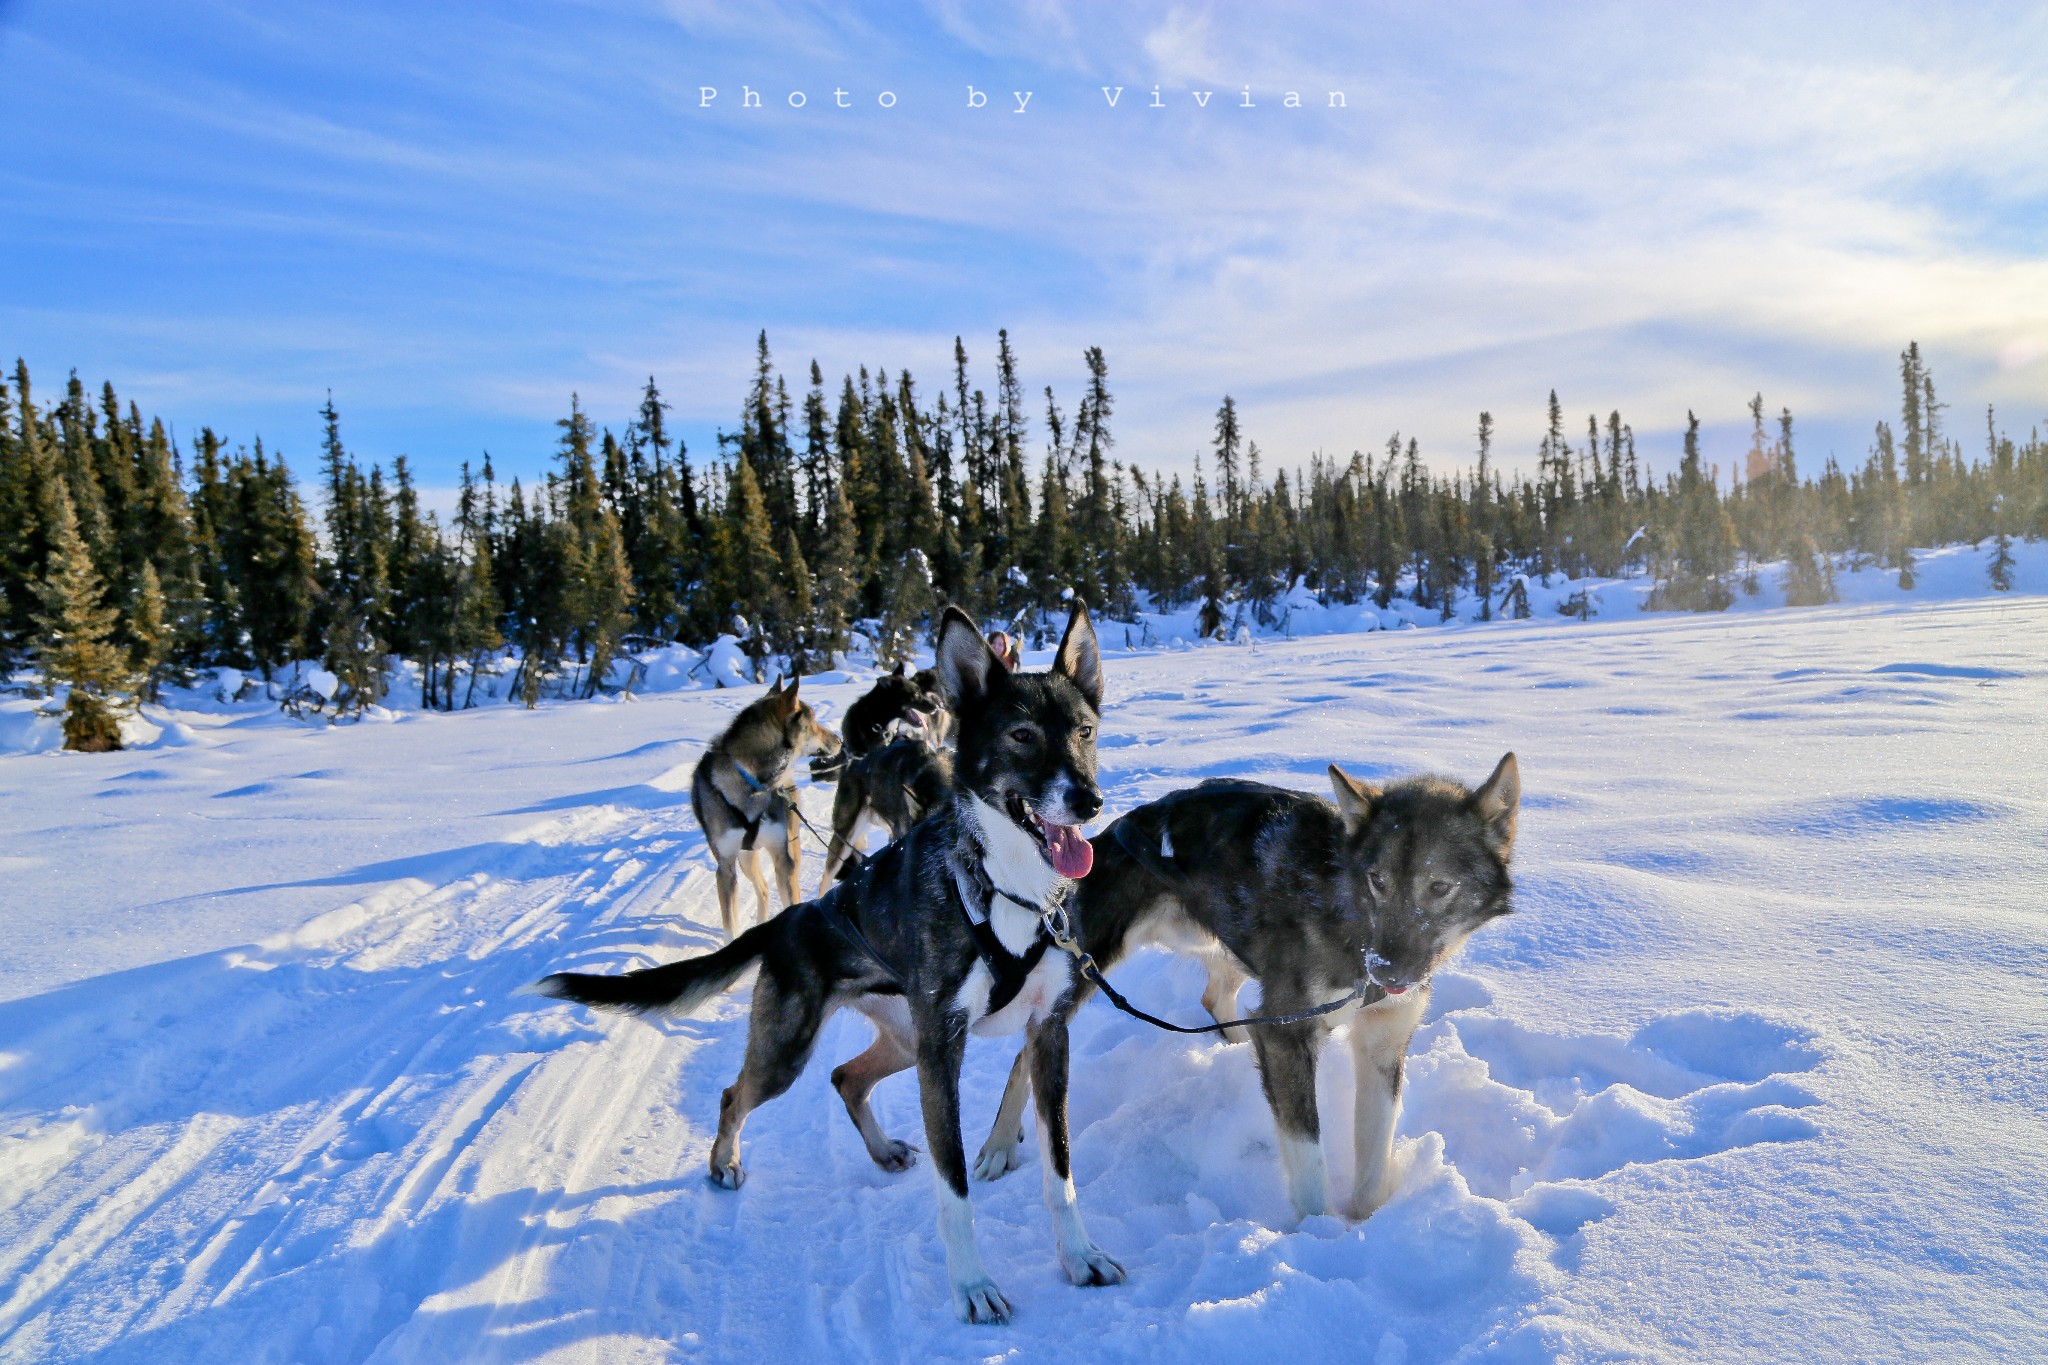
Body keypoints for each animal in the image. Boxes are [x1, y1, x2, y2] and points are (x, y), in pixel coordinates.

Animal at [692, 675, 843, 941]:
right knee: (762, 888)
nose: (839, 740)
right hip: (745, 859)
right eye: (813, 720)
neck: (752, 784)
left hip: (789, 850)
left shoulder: (784, 859)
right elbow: (730, 925)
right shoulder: (725, 868)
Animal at [966, 765, 1515, 1219]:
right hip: (1085, 970)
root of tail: (1115, 832)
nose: (1388, 972)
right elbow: (1309, 1160)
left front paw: (1367, 1222)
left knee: (1216, 1000)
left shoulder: (1382, 1043)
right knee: (1026, 1053)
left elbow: (1374, 1151)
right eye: (1377, 880)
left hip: (1225, 943)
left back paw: (1236, 1041)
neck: (1350, 921)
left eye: (1439, 887)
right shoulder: (1292, 1034)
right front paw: (1321, 1237)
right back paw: (998, 1145)